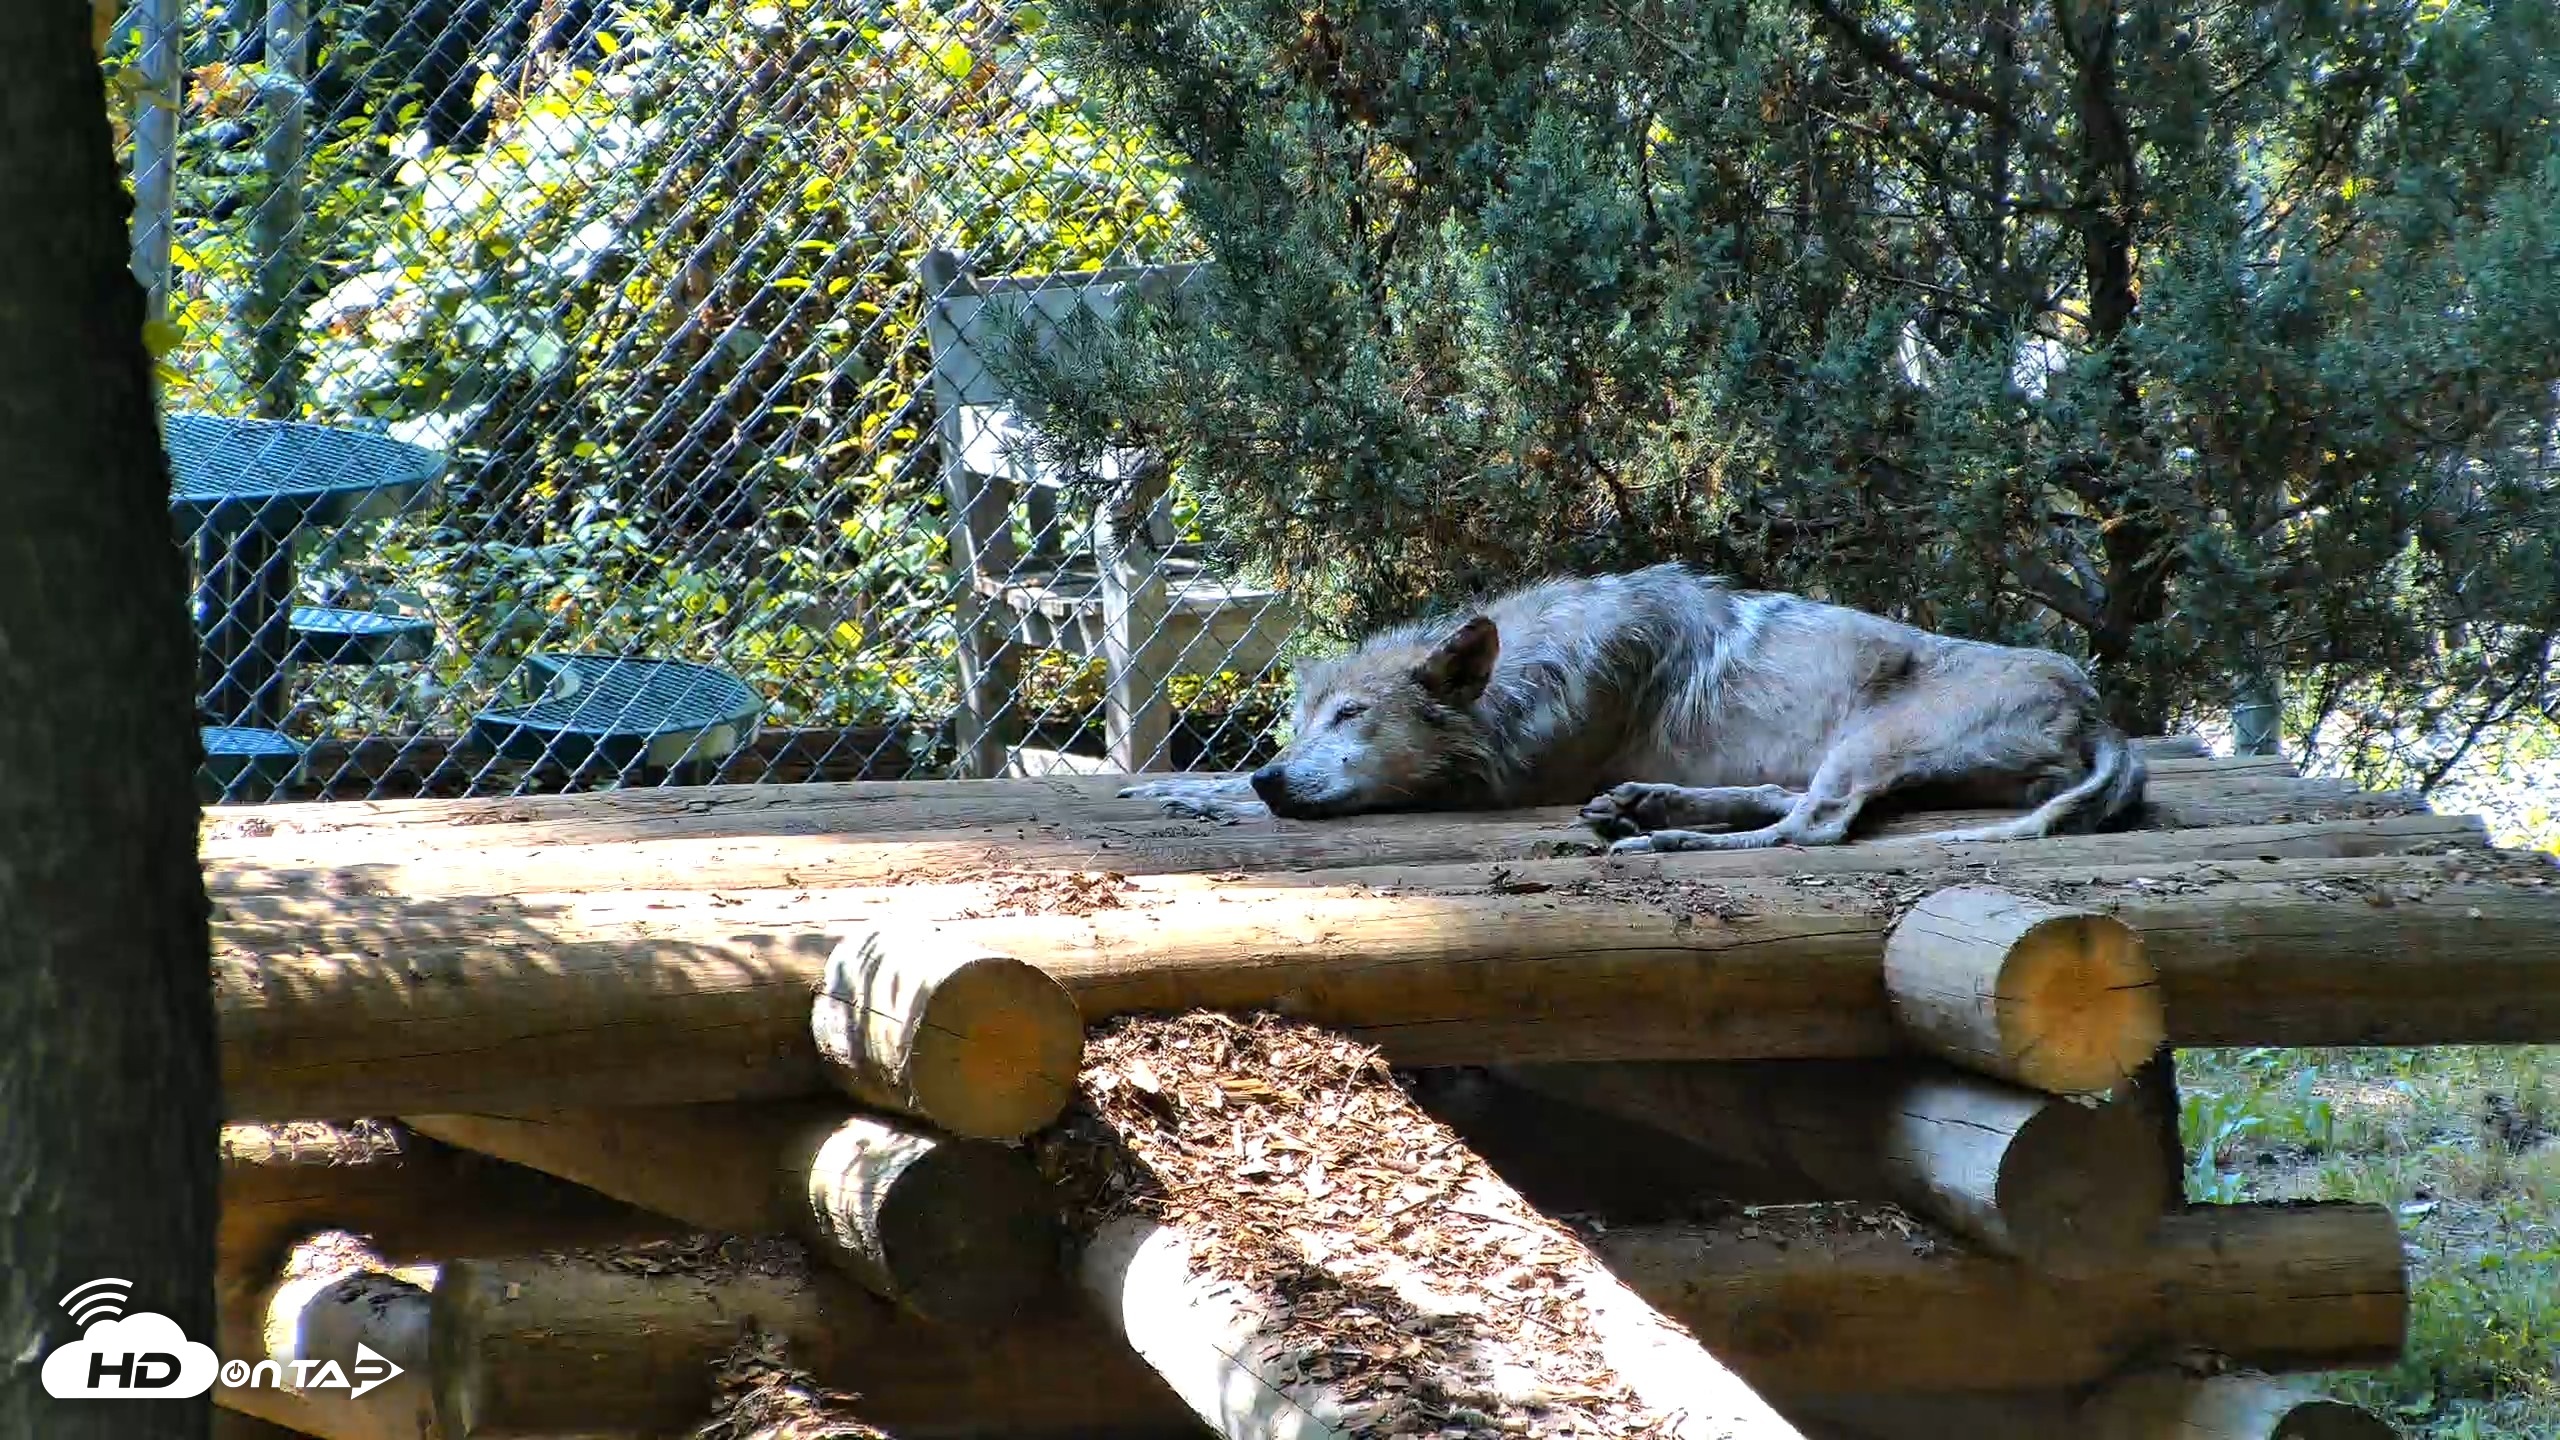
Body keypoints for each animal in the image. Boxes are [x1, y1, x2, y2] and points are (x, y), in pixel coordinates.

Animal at [1118, 563, 2145, 852]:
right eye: (1300, 724)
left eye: (1352, 718)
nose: (1273, 773)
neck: (1530, 675)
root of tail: (2101, 710)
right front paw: (1181, 787)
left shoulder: (1495, 788)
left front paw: (1204, 795)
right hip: (1847, 754)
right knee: (1794, 808)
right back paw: (1647, 808)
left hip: (1868, 741)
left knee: (1812, 830)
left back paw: (1662, 836)